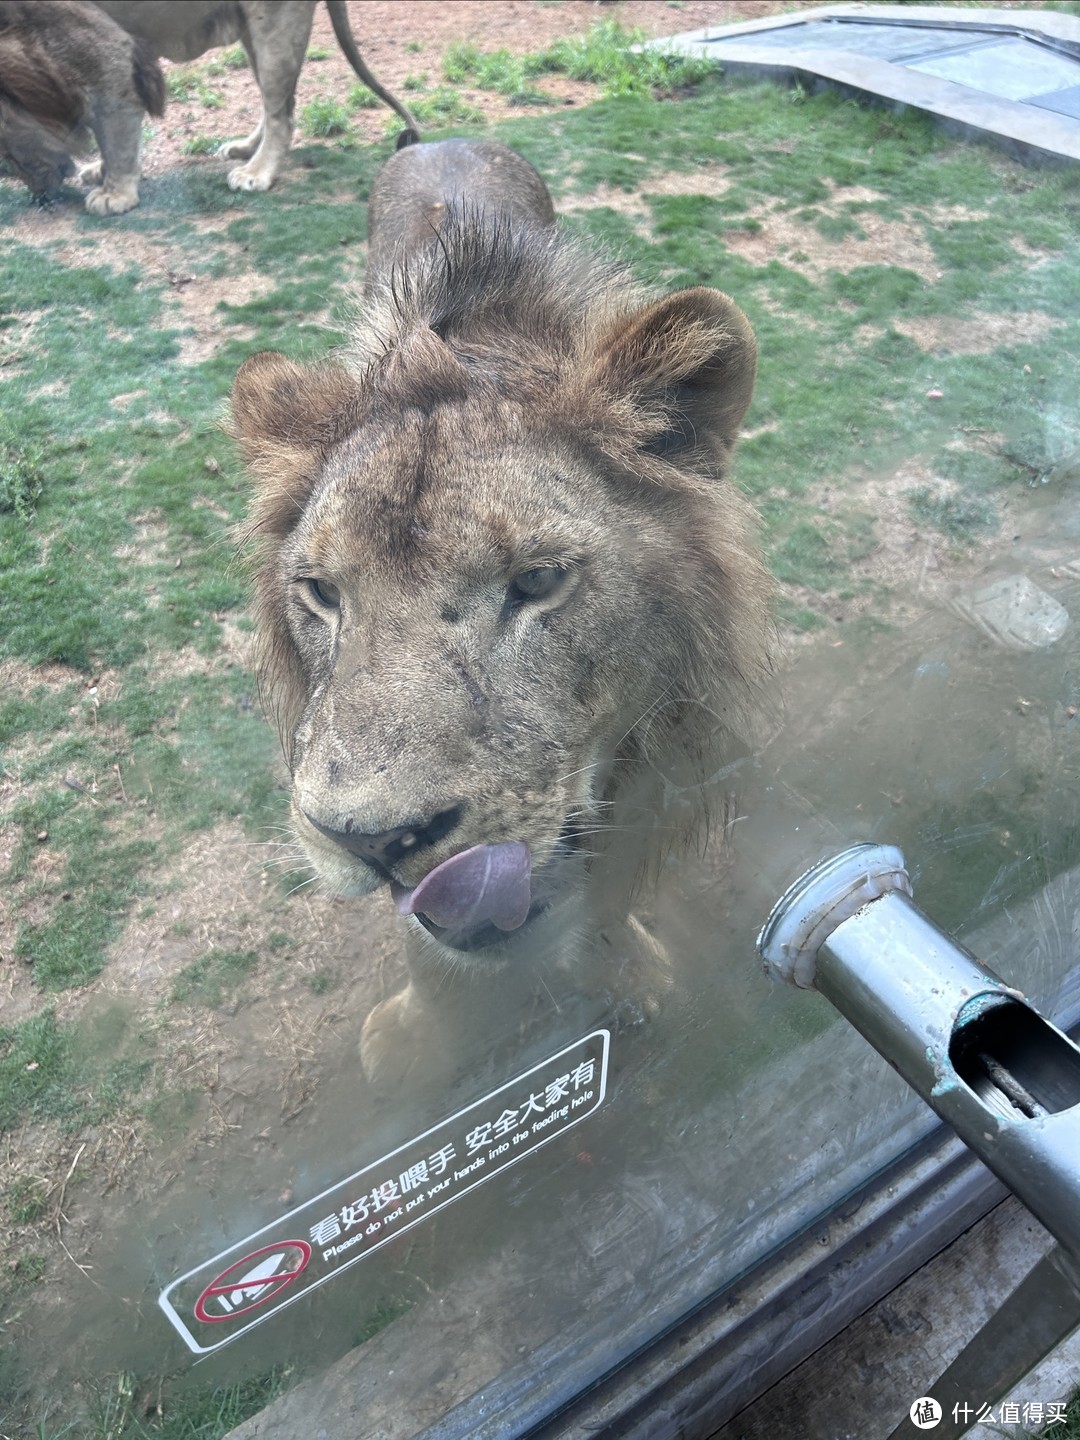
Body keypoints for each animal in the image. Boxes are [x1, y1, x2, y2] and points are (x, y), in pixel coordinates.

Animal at [0, 0, 164, 213]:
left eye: (8, 154)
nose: (39, 196)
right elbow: (105, 140)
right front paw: (101, 172)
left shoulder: (110, 63)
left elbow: (119, 147)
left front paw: (114, 195)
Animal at [87, 1, 417, 198]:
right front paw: (99, 172)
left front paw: (111, 194)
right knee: (280, 101)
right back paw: (244, 149)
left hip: (276, 18)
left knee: (281, 113)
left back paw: (255, 174)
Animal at [233, 137, 771, 1088]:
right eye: (323, 593)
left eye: (538, 581)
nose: (371, 842)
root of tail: (436, 137)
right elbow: (424, 946)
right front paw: (415, 1047)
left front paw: (626, 978)